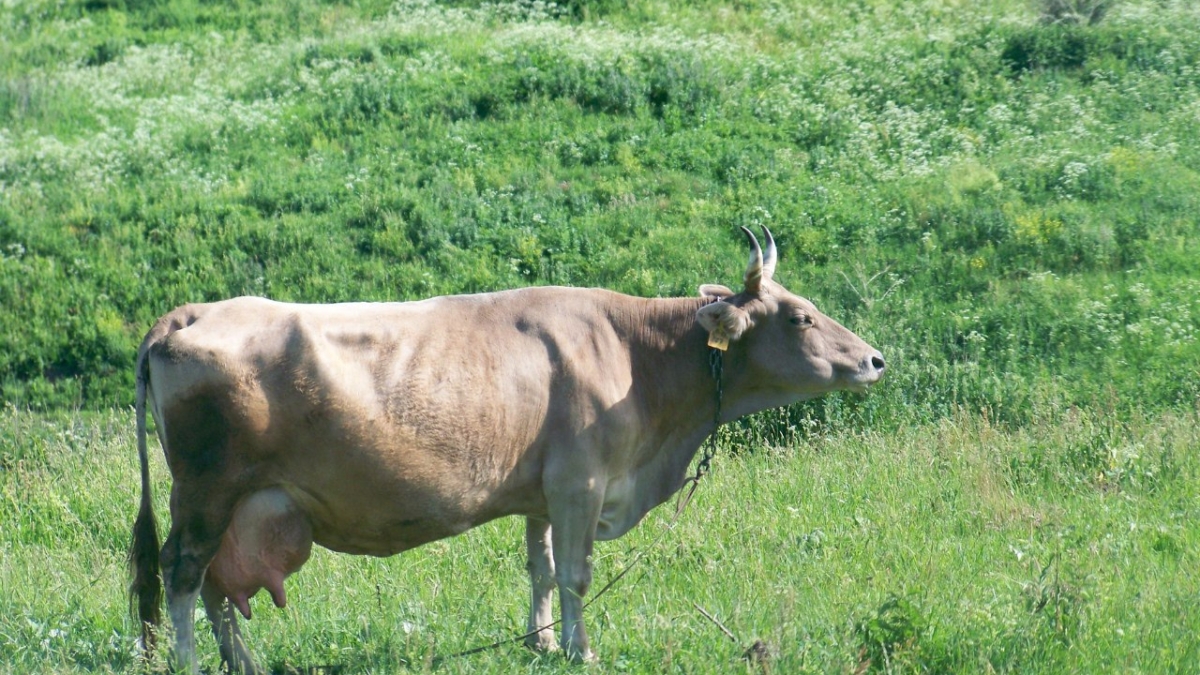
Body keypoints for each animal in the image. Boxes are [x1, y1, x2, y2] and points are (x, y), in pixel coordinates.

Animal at [131, 224, 888, 667]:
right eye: (801, 316)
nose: (875, 360)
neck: (635, 354)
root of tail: (190, 312)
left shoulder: (544, 491)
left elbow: (541, 570)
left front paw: (543, 641)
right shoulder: (582, 482)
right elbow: (577, 572)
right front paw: (582, 652)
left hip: (238, 502)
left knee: (218, 582)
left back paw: (243, 662)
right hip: (205, 491)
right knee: (182, 573)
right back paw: (190, 663)